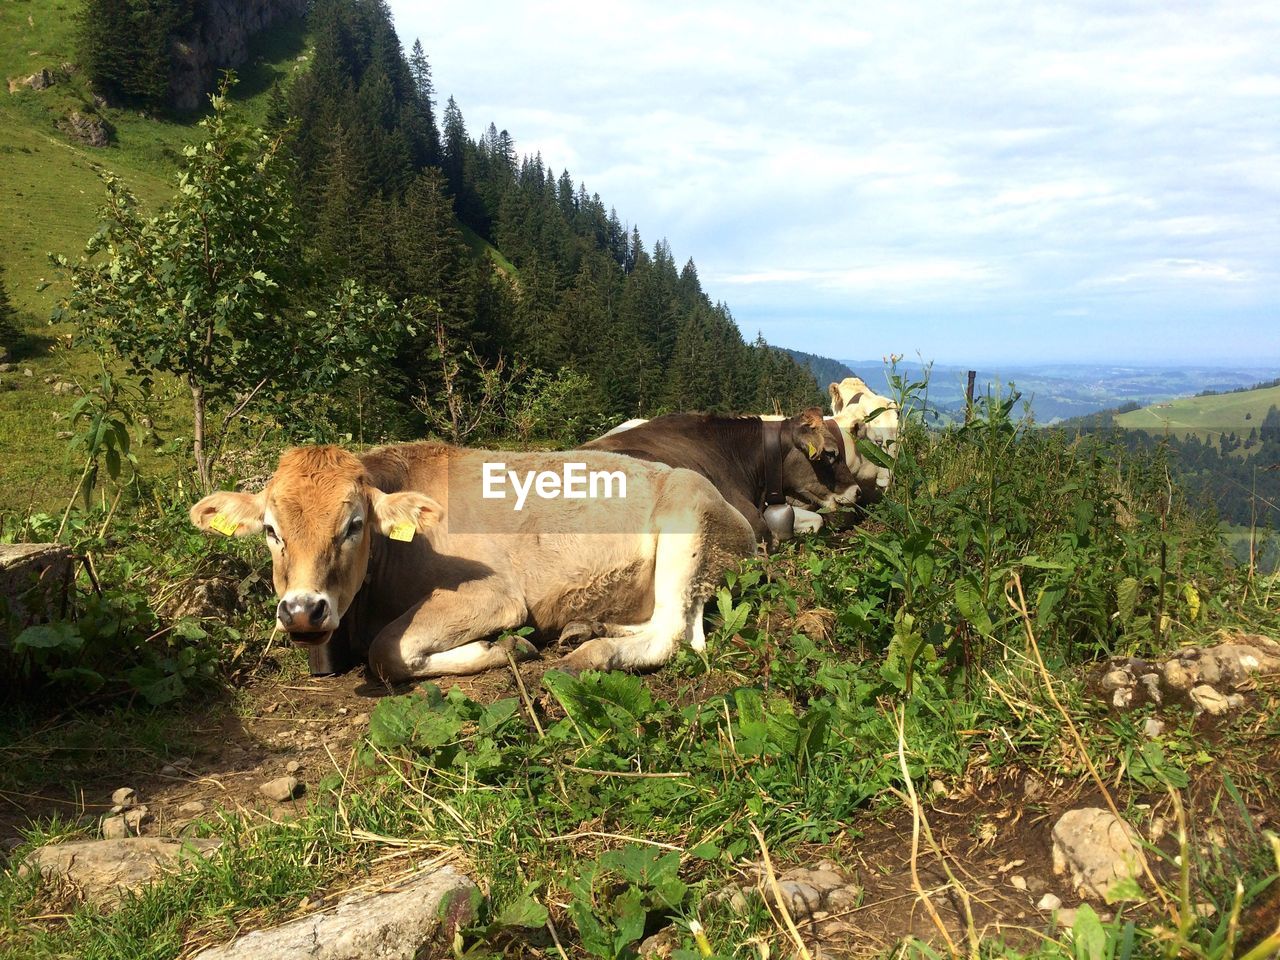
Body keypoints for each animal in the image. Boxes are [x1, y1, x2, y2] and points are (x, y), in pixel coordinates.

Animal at [186, 445, 752, 686]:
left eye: (354, 525)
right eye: (270, 530)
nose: (303, 611)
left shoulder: (496, 593)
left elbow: (388, 651)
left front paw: (506, 647)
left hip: (687, 526)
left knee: (673, 633)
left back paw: (587, 655)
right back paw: (587, 627)